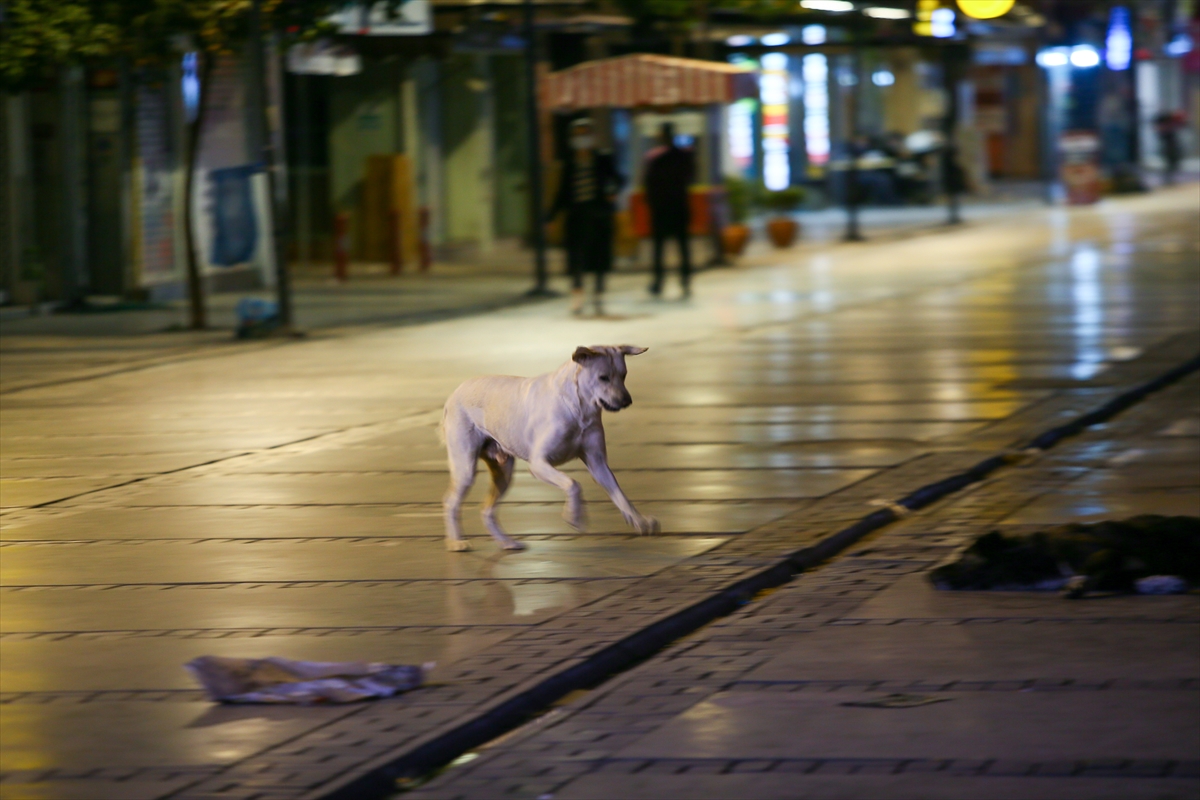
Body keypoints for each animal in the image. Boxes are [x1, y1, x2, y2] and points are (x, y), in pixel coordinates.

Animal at [441, 347, 662, 554]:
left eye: (623, 375)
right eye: (603, 377)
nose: (627, 401)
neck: (579, 409)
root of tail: (453, 394)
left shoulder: (598, 464)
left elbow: (620, 496)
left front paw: (640, 521)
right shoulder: (539, 464)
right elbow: (573, 484)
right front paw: (575, 517)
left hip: (503, 473)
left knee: (486, 510)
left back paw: (508, 543)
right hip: (466, 468)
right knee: (451, 502)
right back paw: (456, 543)